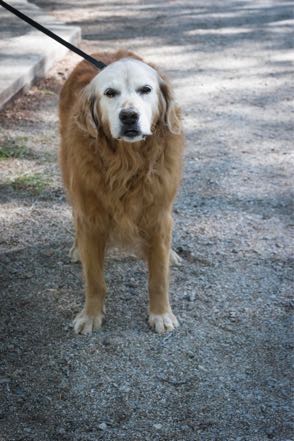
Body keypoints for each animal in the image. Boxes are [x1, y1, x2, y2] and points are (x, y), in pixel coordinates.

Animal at [58, 49, 184, 334]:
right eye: (110, 93)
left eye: (145, 89)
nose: (128, 116)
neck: (128, 161)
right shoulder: (91, 217)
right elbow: (94, 279)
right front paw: (91, 315)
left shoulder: (158, 214)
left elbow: (158, 276)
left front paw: (161, 313)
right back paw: (76, 248)